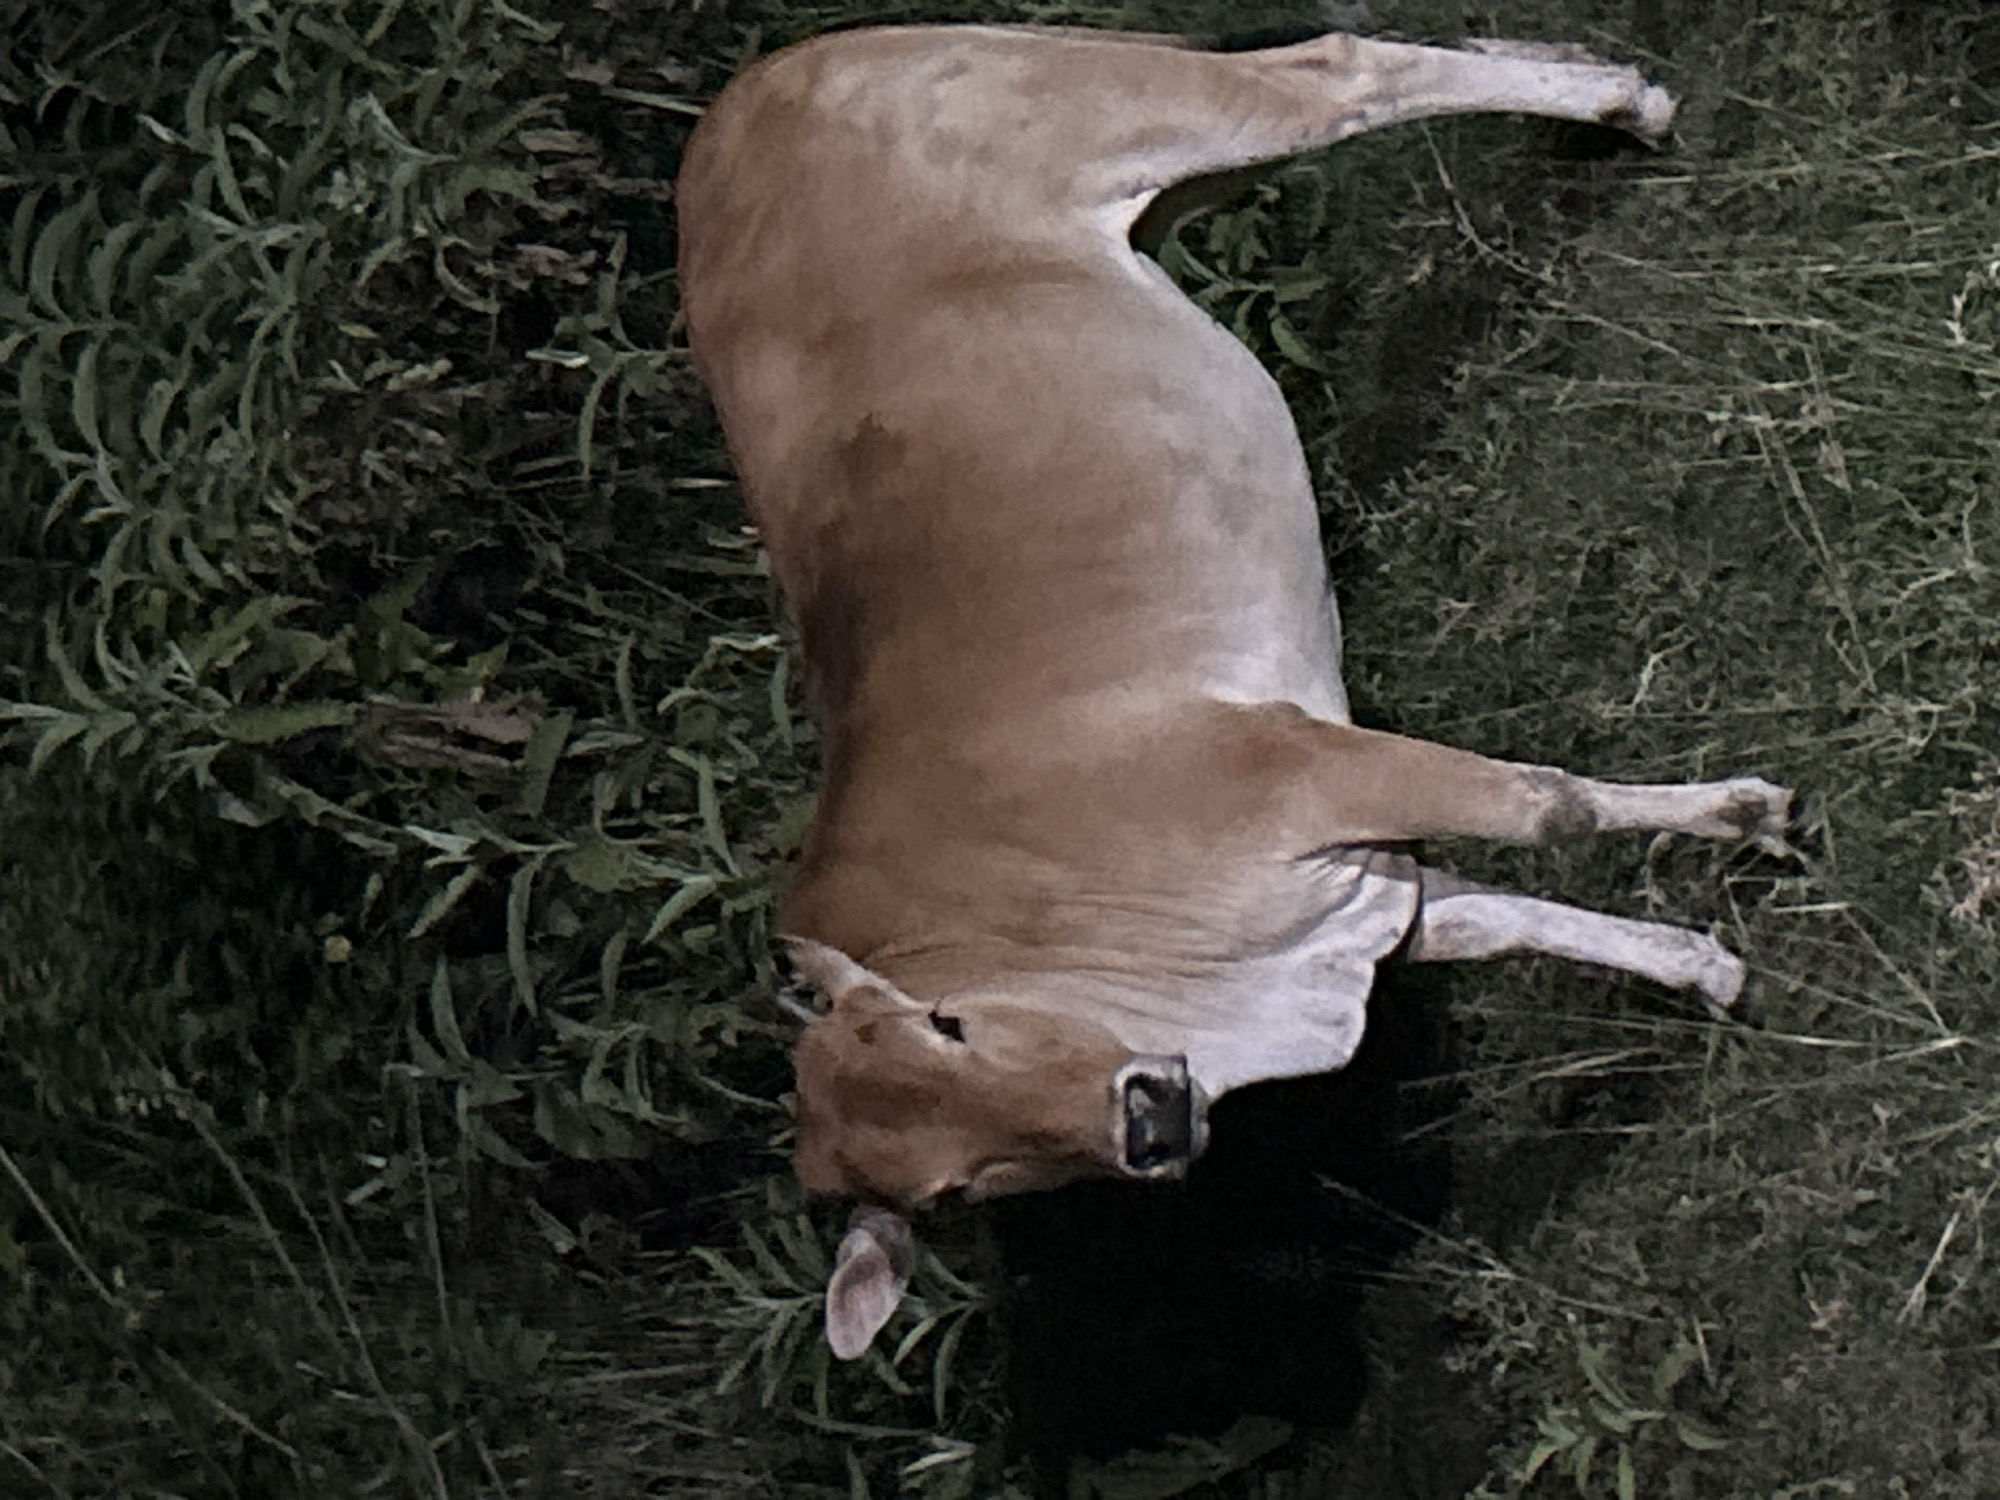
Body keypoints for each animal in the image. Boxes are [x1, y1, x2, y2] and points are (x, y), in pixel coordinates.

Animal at [674, 22, 1789, 1361]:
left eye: (950, 1024)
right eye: (954, 1187)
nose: (1147, 1119)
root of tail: (741, 97)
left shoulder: (1295, 766)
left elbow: (1545, 805)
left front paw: (1746, 811)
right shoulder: (1364, 897)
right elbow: (1506, 915)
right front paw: (1706, 968)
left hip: (1135, 105)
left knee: (1339, 70)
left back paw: (1626, 103)